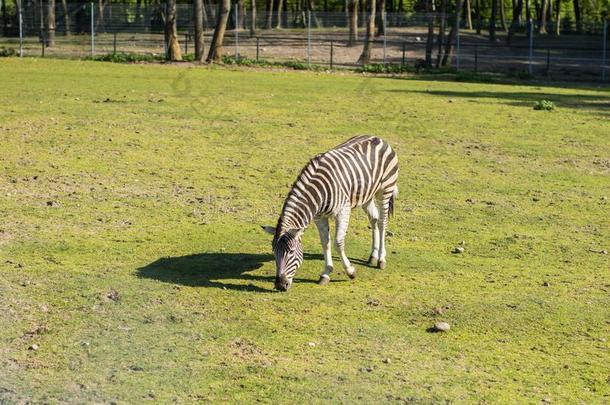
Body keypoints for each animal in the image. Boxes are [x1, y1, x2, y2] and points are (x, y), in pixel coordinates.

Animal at [262, 136, 400, 290]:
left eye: (291, 252)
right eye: (273, 251)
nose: (280, 285)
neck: (317, 193)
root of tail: (378, 138)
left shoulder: (343, 211)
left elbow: (338, 243)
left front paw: (350, 271)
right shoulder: (319, 217)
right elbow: (325, 242)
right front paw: (326, 273)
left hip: (385, 190)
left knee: (382, 222)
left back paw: (381, 259)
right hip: (367, 195)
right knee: (374, 219)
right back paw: (373, 256)